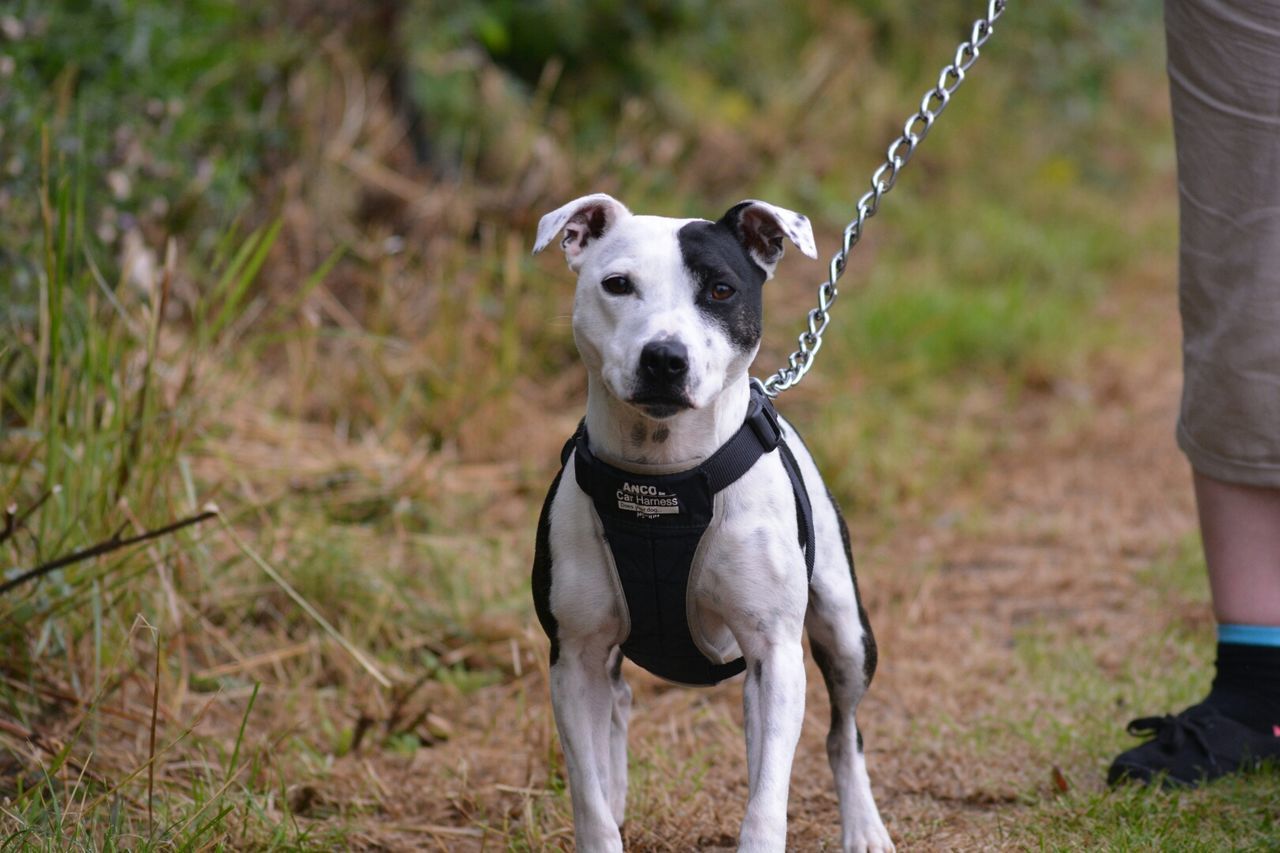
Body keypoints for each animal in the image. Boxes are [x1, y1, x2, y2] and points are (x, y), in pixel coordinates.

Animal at [529, 194, 890, 850]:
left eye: (721, 290)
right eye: (617, 285)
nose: (665, 358)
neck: (664, 482)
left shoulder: (775, 655)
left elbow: (767, 800)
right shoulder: (573, 657)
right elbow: (588, 798)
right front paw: (604, 815)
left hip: (846, 634)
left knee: (841, 732)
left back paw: (864, 827)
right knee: (618, 703)